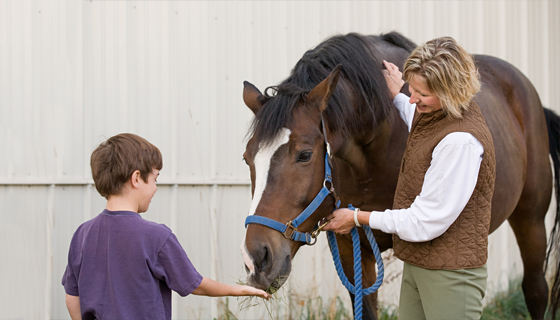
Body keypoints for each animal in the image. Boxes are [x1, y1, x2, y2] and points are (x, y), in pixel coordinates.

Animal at [240, 31, 560, 320]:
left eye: (305, 155)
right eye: (246, 158)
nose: (256, 260)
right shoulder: (353, 249)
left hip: (531, 220)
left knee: (535, 290)